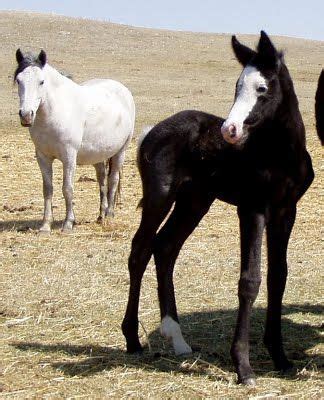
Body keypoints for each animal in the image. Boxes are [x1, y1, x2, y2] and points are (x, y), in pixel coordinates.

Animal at [14, 49, 134, 231]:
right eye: (18, 80)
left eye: (41, 82)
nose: (26, 115)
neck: (56, 113)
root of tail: (123, 90)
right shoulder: (42, 157)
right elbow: (47, 189)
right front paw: (45, 225)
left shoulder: (69, 157)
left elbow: (67, 188)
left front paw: (68, 223)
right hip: (99, 155)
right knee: (102, 180)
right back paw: (101, 215)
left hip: (120, 152)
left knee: (113, 180)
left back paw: (109, 215)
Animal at [121, 31, 314, 384]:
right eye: (237, 86)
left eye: (261, 88)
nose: (230, 130)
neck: (279, 155)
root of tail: (151, 131)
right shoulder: (252, 210)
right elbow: (250, 280)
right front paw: (243, 366)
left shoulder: (285, 211)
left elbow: (278, 276)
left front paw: (280, 357)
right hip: (160, 196)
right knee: (140, 250)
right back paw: (131, 338)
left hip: (194, 201)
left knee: (165, 247)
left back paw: (177, 338)